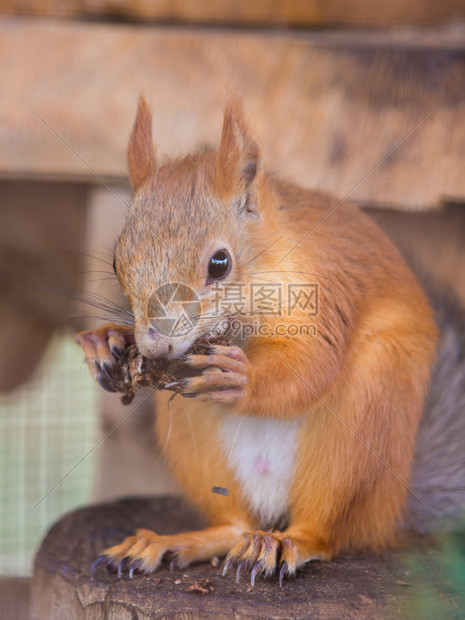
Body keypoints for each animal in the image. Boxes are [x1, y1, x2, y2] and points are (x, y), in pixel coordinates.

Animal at [74, 95, 462, 588]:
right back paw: (172, 542)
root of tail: (390, 513)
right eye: (116, 261)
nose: (158, 346)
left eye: (220, 263)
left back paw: (286, 543)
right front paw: (105, 343)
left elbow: (312, 367)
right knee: (233, 525)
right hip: (197, 440)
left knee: (327, 531)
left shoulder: (322, 294)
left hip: (364, 422)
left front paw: (242, 380)